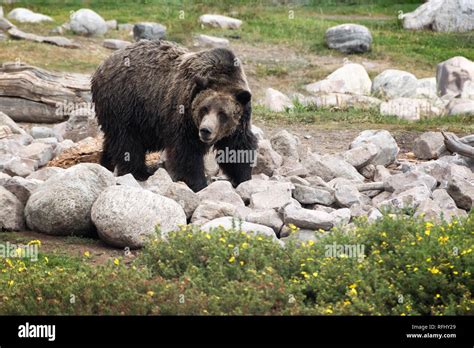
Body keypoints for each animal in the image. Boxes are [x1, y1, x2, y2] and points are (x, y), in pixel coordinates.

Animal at [90, 42, 258, 193]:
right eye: (204, 109)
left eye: (222, 114)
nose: (206, 130)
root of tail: (102, 65)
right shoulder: (184, 113)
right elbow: (187, 153)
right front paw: (199, 184)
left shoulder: (239, 123)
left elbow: (237, 148)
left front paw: (244, 178)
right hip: (124, 103)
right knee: (127, 142)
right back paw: (141, 172)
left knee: (113, 141)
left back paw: (106, 164)